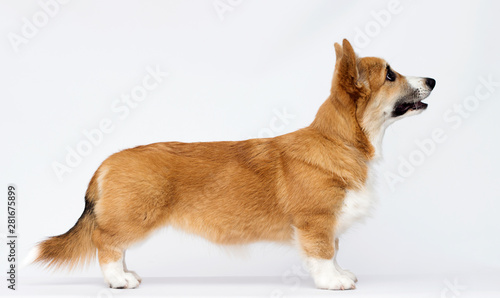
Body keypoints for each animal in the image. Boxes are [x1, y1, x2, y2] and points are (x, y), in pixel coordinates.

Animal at [26, 39, 434, 292]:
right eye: (391, 75)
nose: (432, 79)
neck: (341, 140)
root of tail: (105, 163)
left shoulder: (329, 223)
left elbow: (334, 252)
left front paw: (340, 273)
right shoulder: (315, 221)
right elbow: (322, 254)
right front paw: (332, 282)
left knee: (116, 248)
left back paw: (127, 274)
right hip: (133, 219)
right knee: (106, 244)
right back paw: (118, 281)